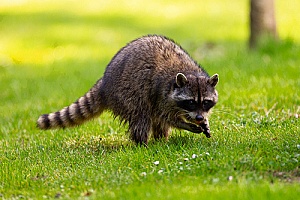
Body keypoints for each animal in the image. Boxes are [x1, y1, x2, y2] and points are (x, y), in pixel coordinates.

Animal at [38, 35, 220, 145]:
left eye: (205, 102)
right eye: (190, 102)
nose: (199, 117)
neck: (190, 73)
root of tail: (104, 83)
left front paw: (202, 121)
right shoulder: (161, 95)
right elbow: (167, 117)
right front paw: (186, 124)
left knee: (155, 122)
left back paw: (161, 140)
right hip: (127, 93)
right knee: (142, 116)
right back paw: (143, 144)